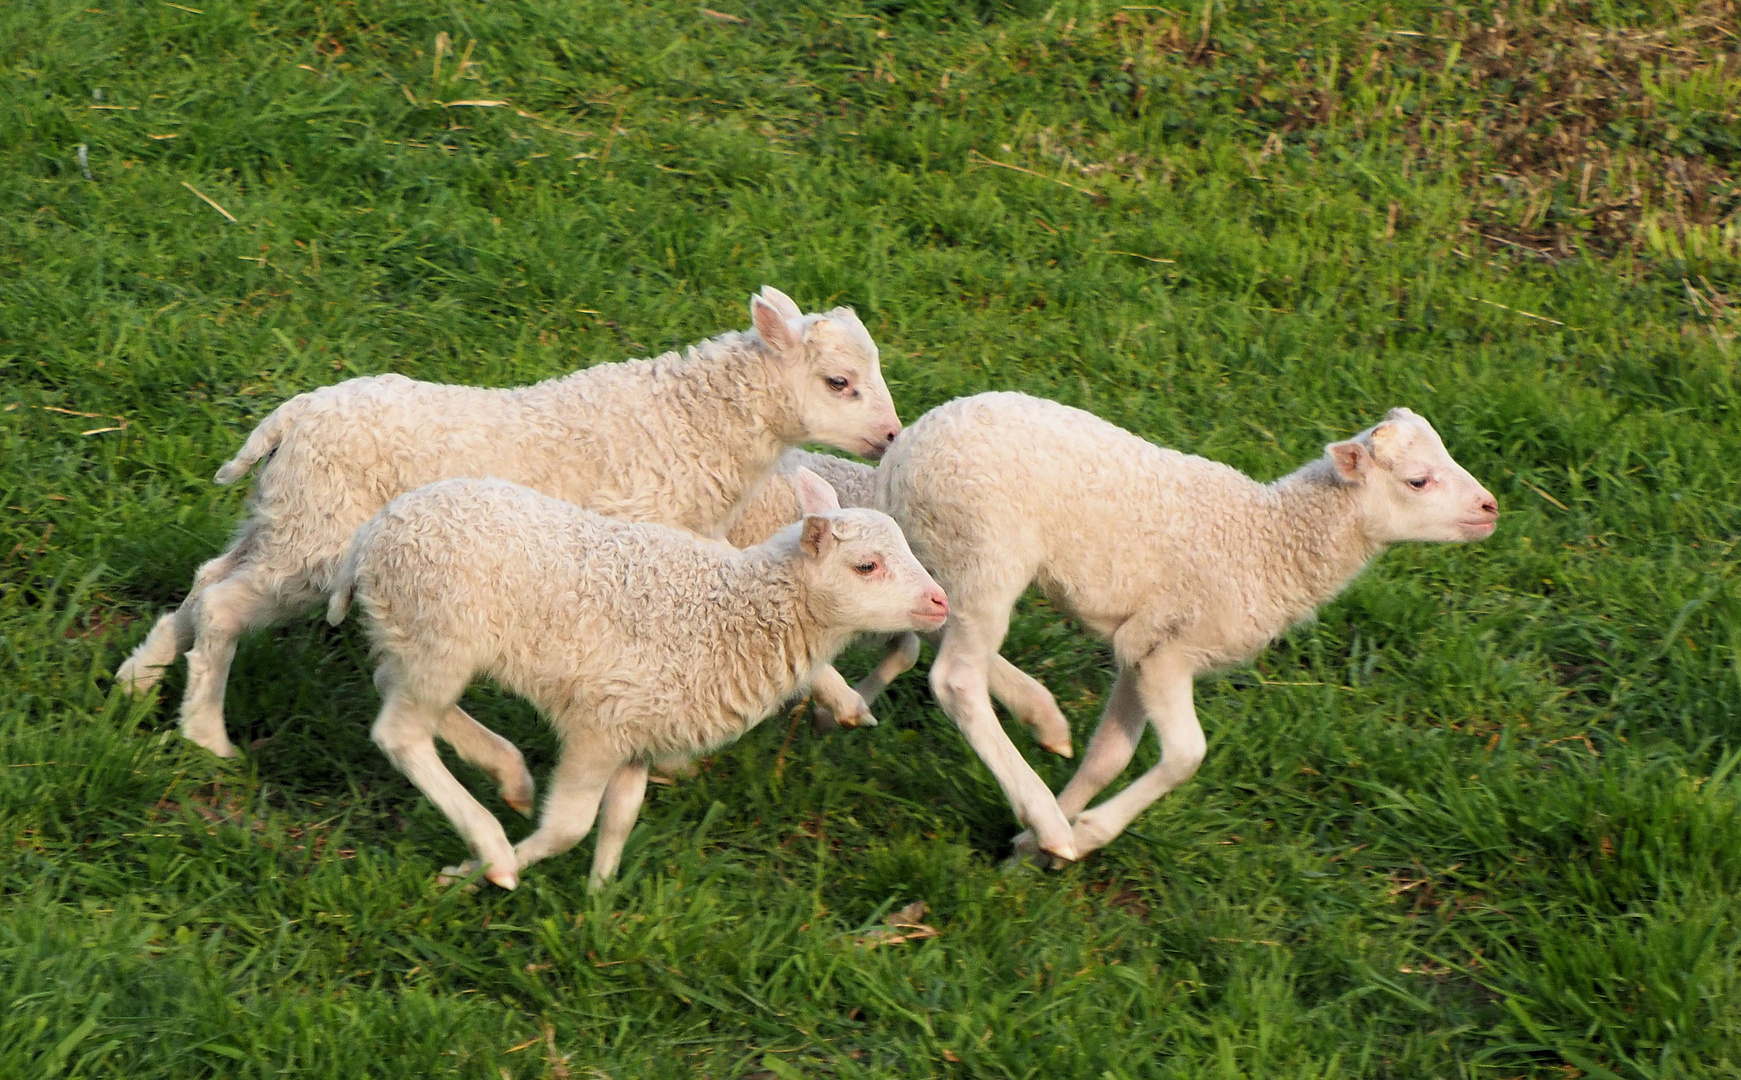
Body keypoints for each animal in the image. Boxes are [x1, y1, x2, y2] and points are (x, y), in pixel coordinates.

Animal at [115, 287, 898, 776]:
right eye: (838, 383)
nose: (891, 436)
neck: (690, 424)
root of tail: (290, 418)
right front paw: (843, 701)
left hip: (287, 518)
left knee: (207, 580)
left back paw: (139, 679)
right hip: (318, 536)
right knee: (225, 604)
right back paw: (207, 736)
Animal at [327, 470, 954, 884]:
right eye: (866, 566)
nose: (941, 602)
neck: (732, 613)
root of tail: (369, 536)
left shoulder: (639, 732)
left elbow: (619, 821)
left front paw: (599, 905)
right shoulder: (600, 726)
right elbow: (570, 828)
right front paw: (475, 874)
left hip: (416, 634)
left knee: (391, 684)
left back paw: (510, 775)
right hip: (442, 631)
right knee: (400, 733)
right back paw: (494, 848)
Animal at [877, 391, 1504, 864]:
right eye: (1419, 481)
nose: (1491, 508)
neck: (1268, 540)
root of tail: (898, 458)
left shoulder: (1141, 644)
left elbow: (1110, 755)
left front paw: (1032, 846)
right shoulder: (1170, 649)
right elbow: (1186, 756)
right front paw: (1079, 833)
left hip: (943, 557)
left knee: (932, 625)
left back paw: (1044, 724)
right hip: (985, 547)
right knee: (957, 679)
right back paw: (1043, 805)